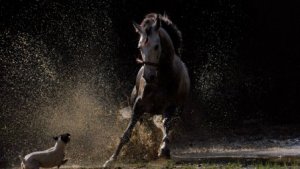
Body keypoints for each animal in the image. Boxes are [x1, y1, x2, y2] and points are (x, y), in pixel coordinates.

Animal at [103, 13, 190, 168]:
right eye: (140, 47)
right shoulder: (138, 106)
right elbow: (127, 134)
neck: (160, 79)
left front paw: (164, 149)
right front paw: (112, 159)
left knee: (165, 126)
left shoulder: (170, 107)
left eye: (156, 46)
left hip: (177, 111)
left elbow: (166, 125)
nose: (148, 76)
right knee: (147, 125)